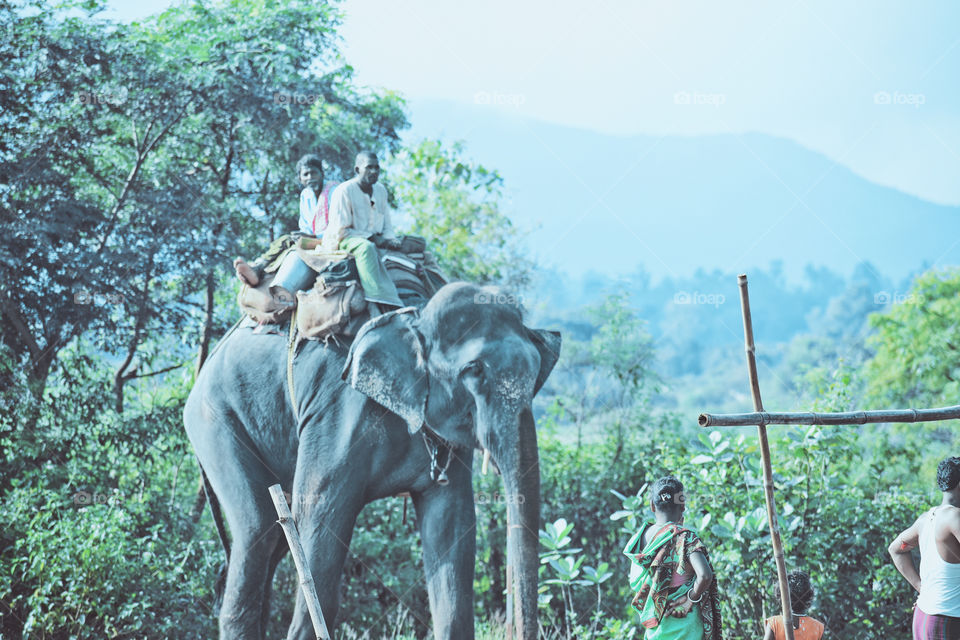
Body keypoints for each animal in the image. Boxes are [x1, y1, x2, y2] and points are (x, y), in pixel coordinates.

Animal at [183, 282, 561, 639]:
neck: (415, 317)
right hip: (215, 420)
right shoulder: (337, 413)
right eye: (474, 370)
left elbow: (451, 521)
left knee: (275, 537)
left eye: (537, 373)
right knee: (258, 527)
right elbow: (320, 515)